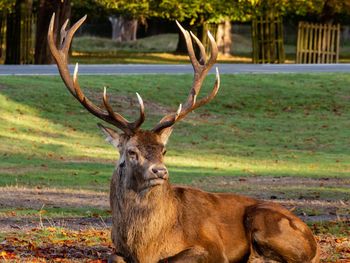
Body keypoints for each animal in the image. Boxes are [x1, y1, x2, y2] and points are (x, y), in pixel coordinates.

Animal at [47, 14, 318, 263]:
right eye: (132, 151)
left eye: (163, 150)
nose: (160, 171)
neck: (145, 247)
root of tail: (313, 240)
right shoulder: (117, 248)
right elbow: (115, 257)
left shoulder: (212, 247)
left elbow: (171, 259)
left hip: (266, 221)